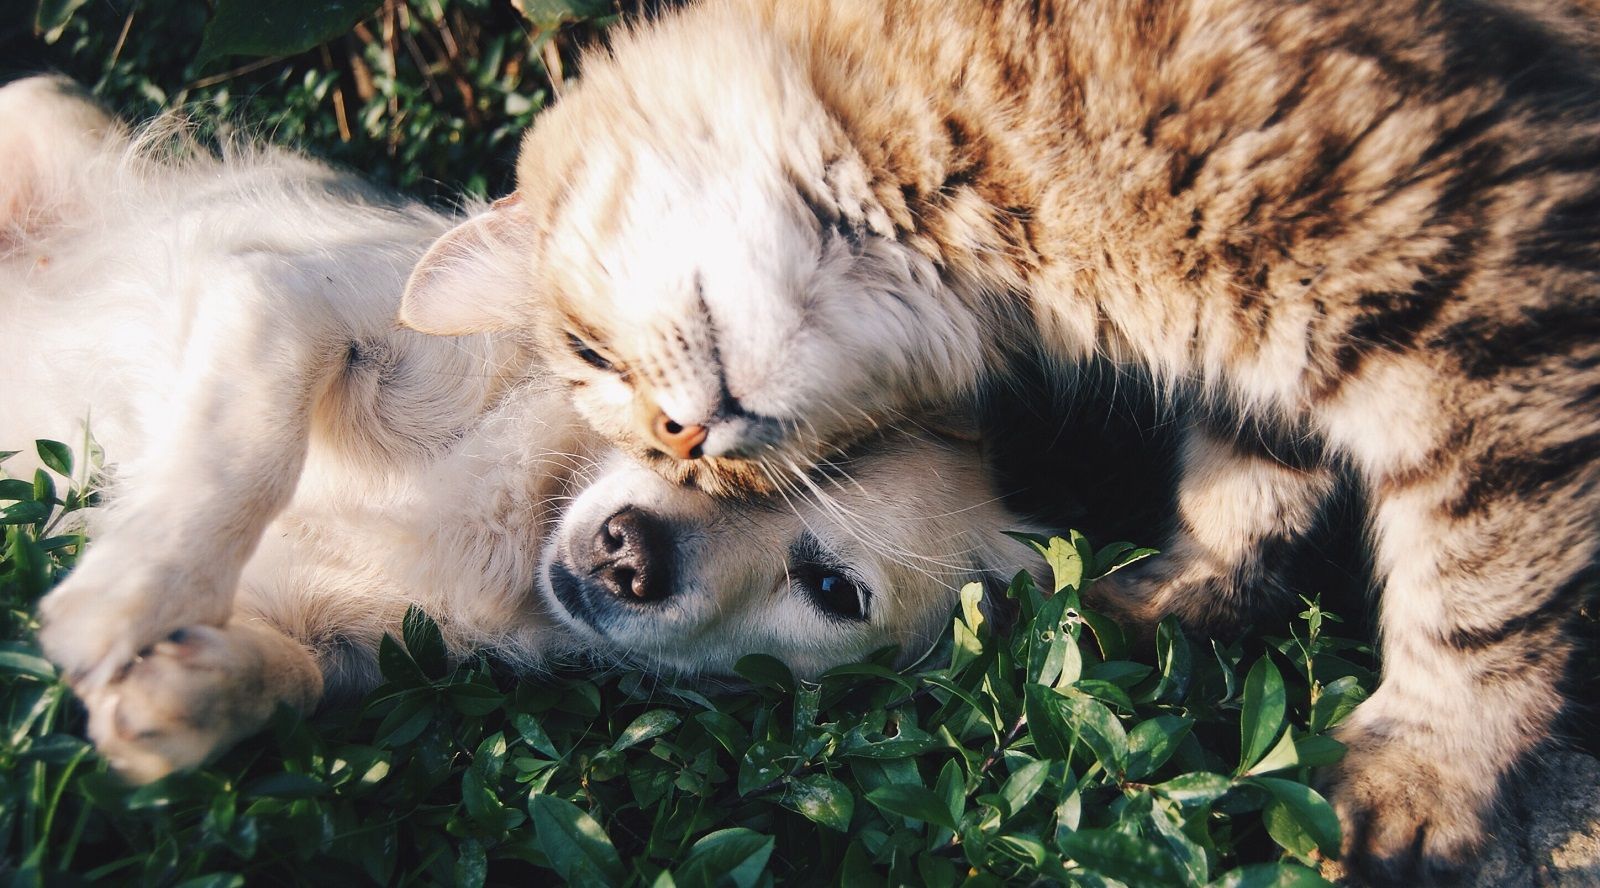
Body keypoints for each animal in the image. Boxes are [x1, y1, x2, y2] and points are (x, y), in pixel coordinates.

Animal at [393, 0, 1600, 876]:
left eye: (588, 354)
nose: (684, 442)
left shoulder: (1484, 303)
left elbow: (1479, 596)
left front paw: (1423, 775)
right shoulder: (1273, 354)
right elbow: (1243, 490)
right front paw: (1169, 600)